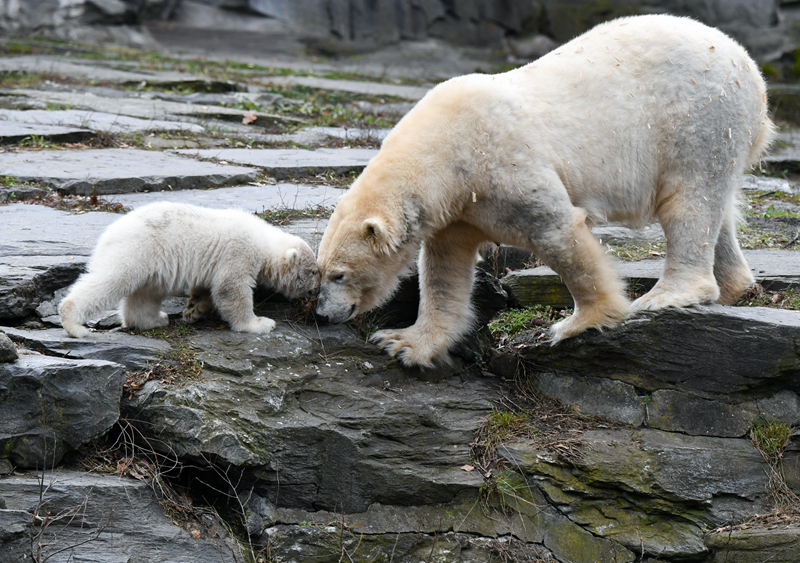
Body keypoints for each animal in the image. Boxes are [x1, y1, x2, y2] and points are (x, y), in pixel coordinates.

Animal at [316, 15, 772, 368]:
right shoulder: (459, 208)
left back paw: (668, 295)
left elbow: (558, 233)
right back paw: (732, 285)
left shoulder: (501, 164)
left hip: (700, 117)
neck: (446, 152)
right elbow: (445, 270)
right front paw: (403, 343)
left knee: (689, 201)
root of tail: (749, 64)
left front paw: (581, 321)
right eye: (319, 272)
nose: (321, 313)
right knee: (717, 211)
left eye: (339, 274)